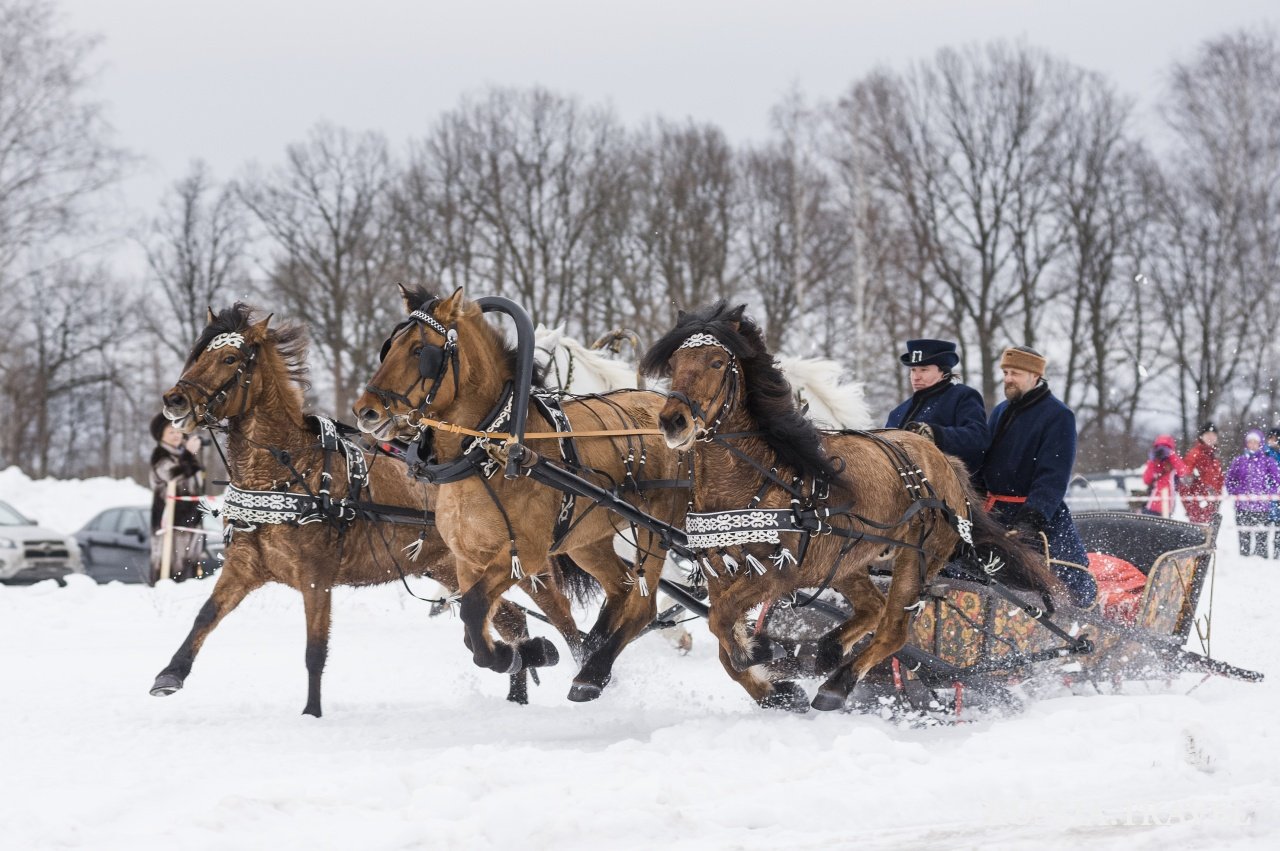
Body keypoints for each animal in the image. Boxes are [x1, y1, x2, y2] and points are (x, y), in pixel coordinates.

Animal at [151, 302, 586, 711]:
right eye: (199, 355)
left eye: (229, 358)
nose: (174, 400)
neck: (288, 471)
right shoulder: (244, 566)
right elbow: (206, 615)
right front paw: (170, 673)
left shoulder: (316, 576)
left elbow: (315, 649)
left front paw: (311, 712)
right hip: (449, 567)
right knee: (510, 618)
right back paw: (522, 677)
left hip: (524, 565)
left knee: (564, 620)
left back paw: (586, 671)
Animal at [355, 289, 686, 701]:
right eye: (390, 347)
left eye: (420, 350)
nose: (365, 411)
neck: (488, 452)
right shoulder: (468, 559)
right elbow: (475, 630)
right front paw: (527, 654)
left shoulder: (524, 554)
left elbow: (474, 609)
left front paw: (531, 654)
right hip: (588, 539)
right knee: (622, 587)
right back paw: (591, 655)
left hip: (657, 528)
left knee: (642, 603)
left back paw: (592, 675)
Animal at [640, 300, 1059, 711]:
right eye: (674, 363)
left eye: (715, 362)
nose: (673, 421)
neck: (752, 477)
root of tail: (943, 462)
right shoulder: (719, 569)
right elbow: (722, 636)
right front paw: (775, 688)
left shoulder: (776, 572)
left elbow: (722, 622)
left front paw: (757, 652)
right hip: (847, 560)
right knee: (873, 607)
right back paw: (829, 648)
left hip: (918, 557)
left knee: (893, 628)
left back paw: (836, 685)